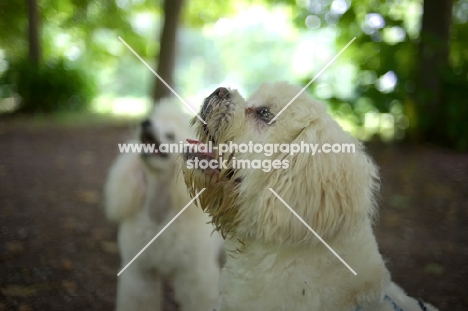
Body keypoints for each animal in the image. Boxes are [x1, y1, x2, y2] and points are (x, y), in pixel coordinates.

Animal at [105, 99, 222, 311]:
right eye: (150, 123)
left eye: (170, 136)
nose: (145, 123)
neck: (161, 214)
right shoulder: (140, 272)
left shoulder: (194, 273)